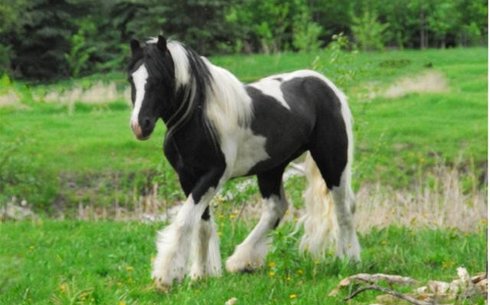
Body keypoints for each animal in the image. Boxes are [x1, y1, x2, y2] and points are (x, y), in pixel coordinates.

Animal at [127, 35, 360, 290]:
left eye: (159, 79)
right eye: (131, 78)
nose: (140, 126)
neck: (201, 117)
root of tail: (327, 86)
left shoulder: (214, 175)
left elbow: (185, 220)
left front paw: (167, 275)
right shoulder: (188, 176)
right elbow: (201, 224)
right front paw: (201, 274)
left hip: (333, 159)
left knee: (343, 208)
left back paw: (348, 260)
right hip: (271, 168)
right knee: (276, 208)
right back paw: (242, 261)